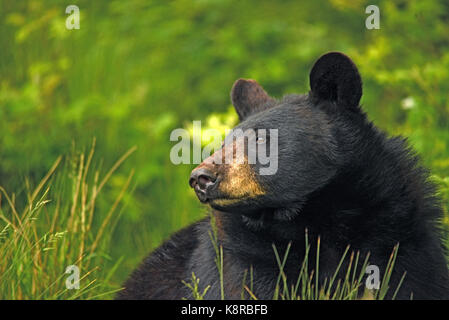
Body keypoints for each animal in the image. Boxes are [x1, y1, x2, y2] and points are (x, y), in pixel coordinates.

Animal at [118, 52, 448, 300]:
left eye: (262, 139)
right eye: (224, 143)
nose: (201, 177)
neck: (316, 219)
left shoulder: (402, 240)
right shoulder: (243, 260)